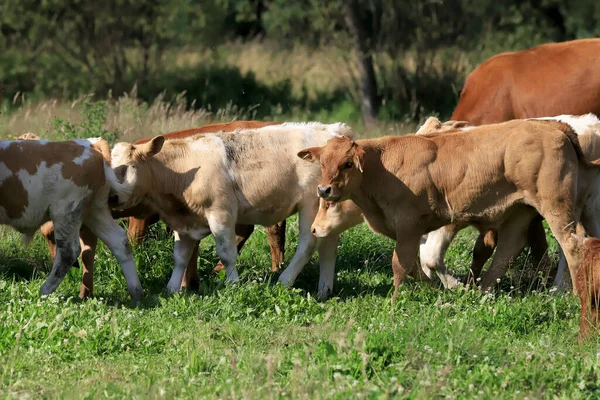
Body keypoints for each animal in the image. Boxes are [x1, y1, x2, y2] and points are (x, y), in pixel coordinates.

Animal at [0, 137, 142, 296]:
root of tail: (91, 143)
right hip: (95, 210)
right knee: (119, 241)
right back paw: (136, 293)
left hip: (66, 212)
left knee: (68, 252)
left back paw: (44, 291)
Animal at [107, 122, 354, 300]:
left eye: (129, 167)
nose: (111, 197)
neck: (182, 171)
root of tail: (334, 130)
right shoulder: (185, 223)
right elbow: (180, 257)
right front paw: (172, 288)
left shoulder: (221, 214)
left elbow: (227, 254)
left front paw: (232, 284)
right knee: (328, 247)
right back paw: (324, 290)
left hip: (311, 203)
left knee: (308, 245)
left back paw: (284, 281)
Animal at [300, 119, 600, 300]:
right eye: (323, 163)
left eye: (348, 163)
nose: (324, 190)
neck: (383, 167)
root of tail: (554, 126)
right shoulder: (410, 231)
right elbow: (415, 266)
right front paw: (436, 291)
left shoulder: (409, 225)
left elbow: (401, 264)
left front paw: (395, 300)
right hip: (520, 211)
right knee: (507, 249)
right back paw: (481, 291)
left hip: (556, 209)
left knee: (572, 247)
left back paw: (576, 295)